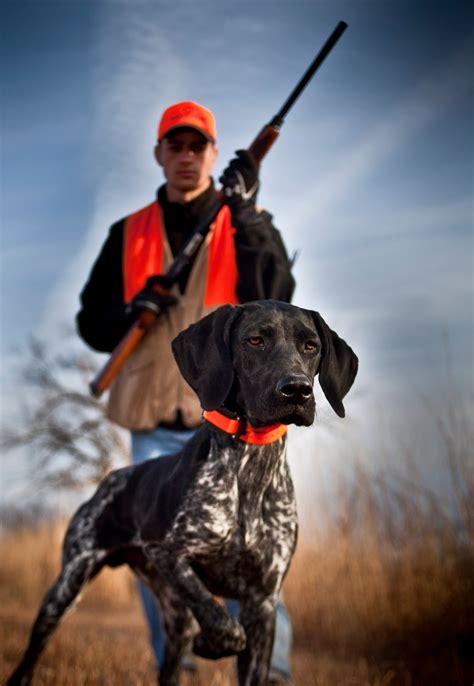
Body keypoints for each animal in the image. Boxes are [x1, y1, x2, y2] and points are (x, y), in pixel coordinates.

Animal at [9, 302, 358, 686]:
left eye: (311, 346)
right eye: (255, 340)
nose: (297, 389)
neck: (249, 465)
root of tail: (110, 480)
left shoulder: (263, 600)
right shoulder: (168, 553)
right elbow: (222, 622)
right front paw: (213, 641)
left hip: (174, 615)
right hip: (67, 585)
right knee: (31, 654)